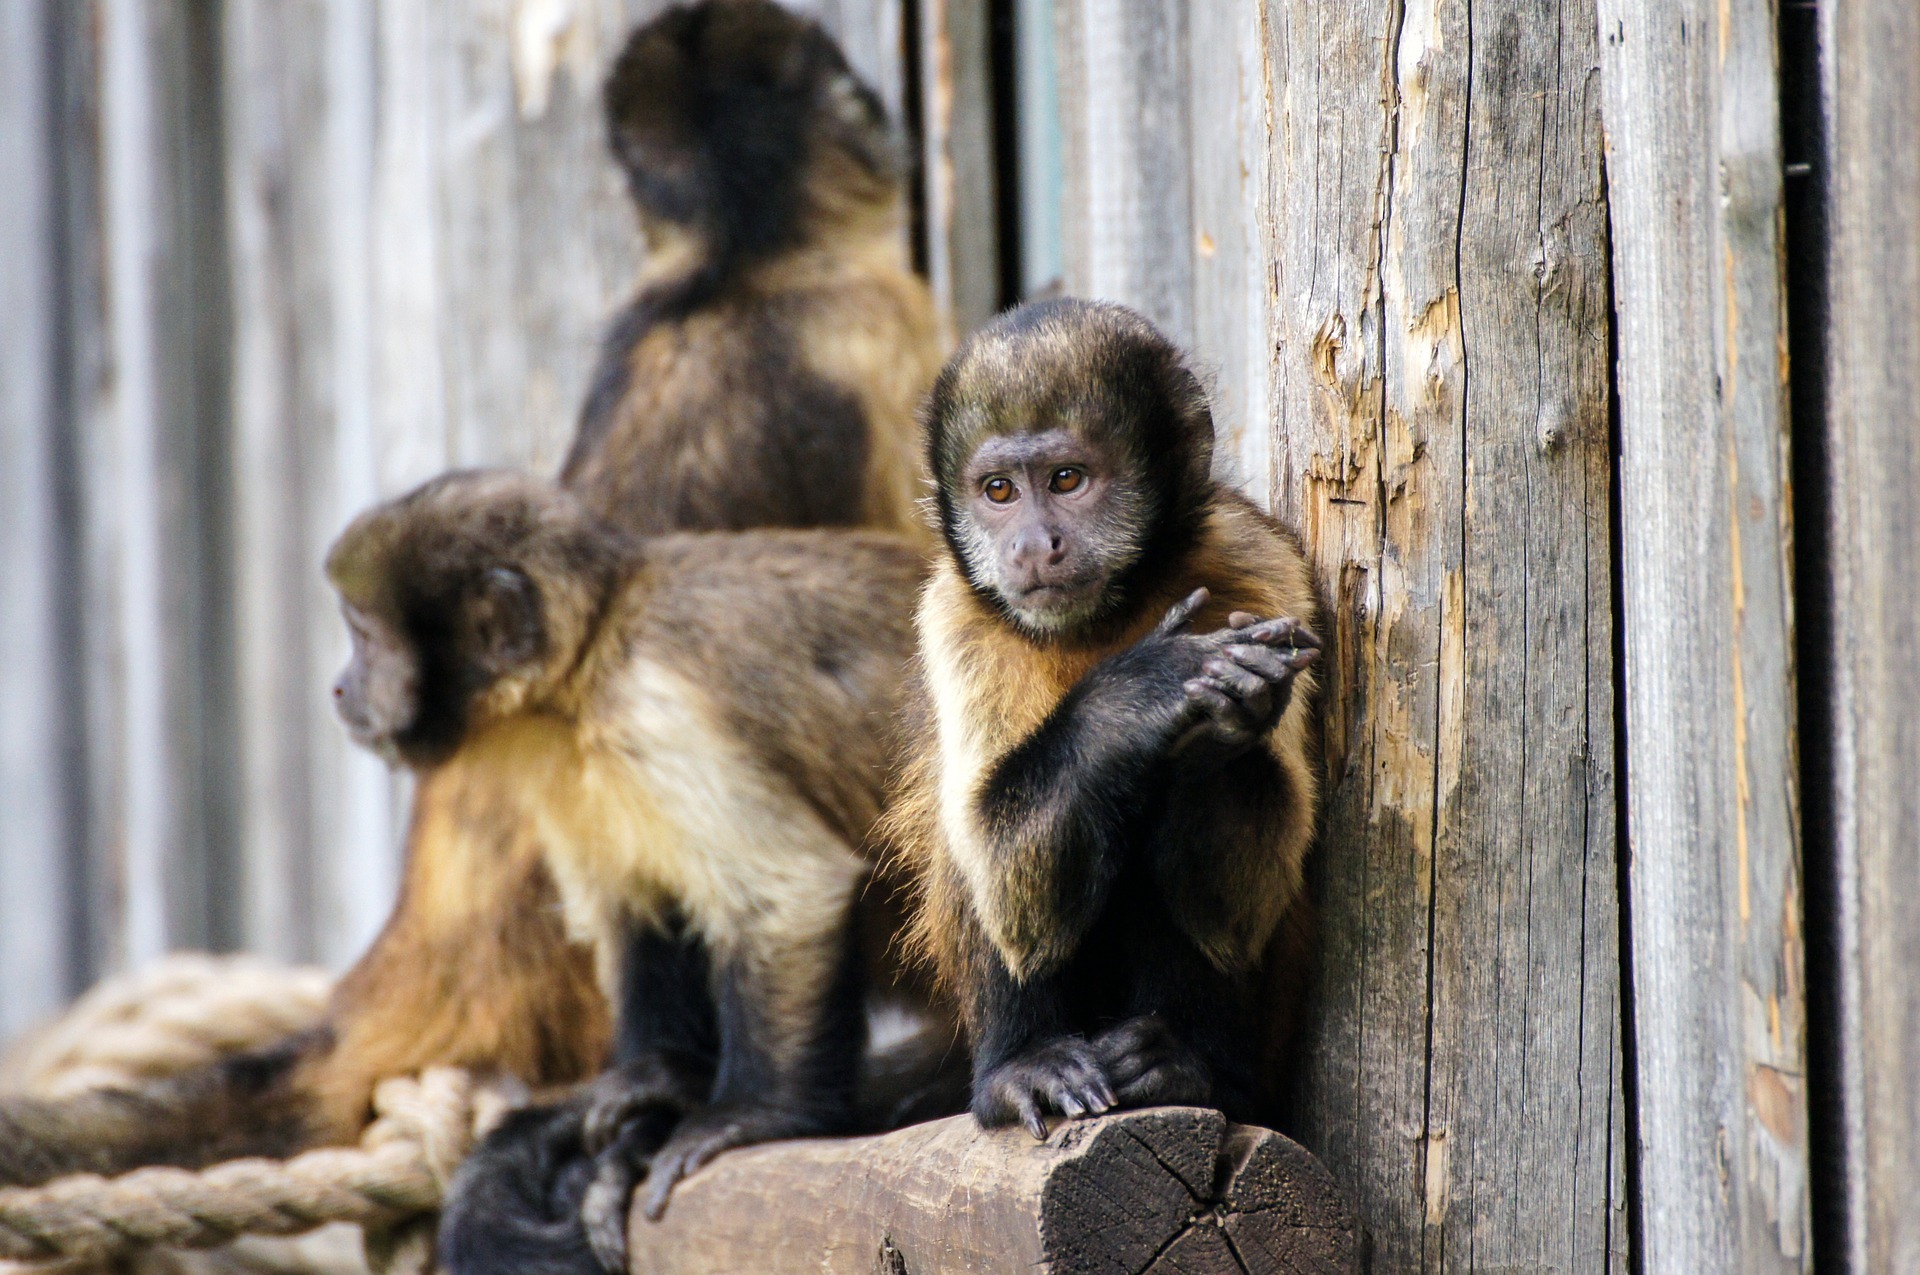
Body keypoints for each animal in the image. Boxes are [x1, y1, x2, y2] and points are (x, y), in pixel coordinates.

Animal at [879, 299, 1328, 1136]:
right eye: (998, 491)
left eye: (1066, 479)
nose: (1032, 544)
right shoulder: (953, 616)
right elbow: (1005, 877)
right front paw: (1141, 693)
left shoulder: (1261, 561)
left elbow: (1239, 909)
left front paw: (1218, 734)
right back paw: (1020, 1067)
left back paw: (1192, 1068)